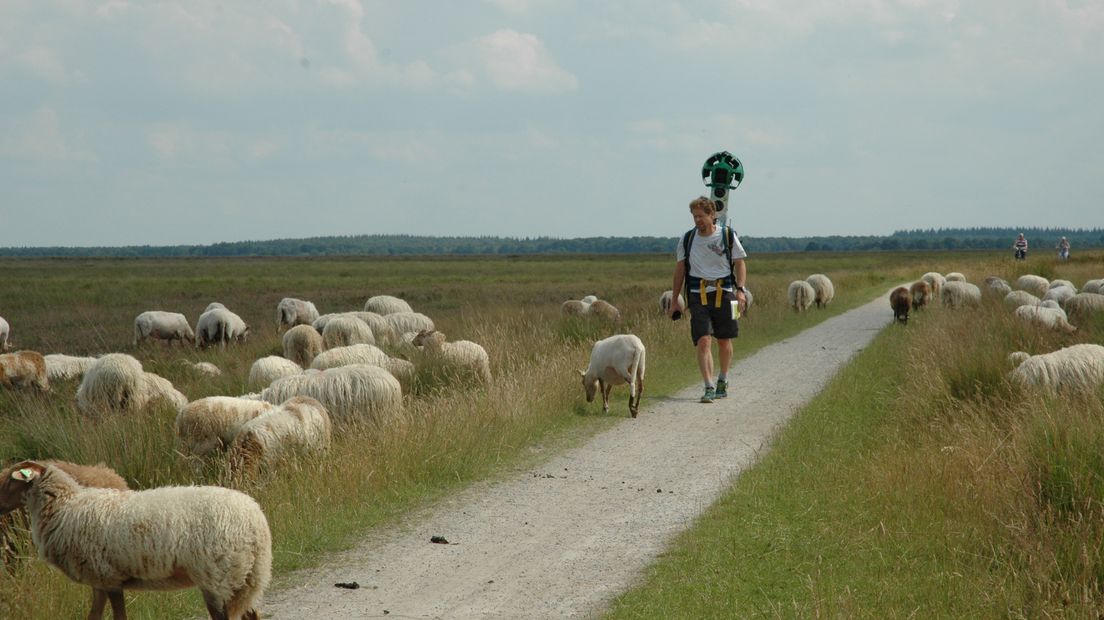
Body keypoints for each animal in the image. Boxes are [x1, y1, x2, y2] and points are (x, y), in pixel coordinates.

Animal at [1, 456, 272, 617]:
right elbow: (94, 616)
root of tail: (256, 521)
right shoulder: (99, 581)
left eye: (9, 481)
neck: (65, 507)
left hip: (217, 577)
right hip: (245, 578)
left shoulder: (107, 577)